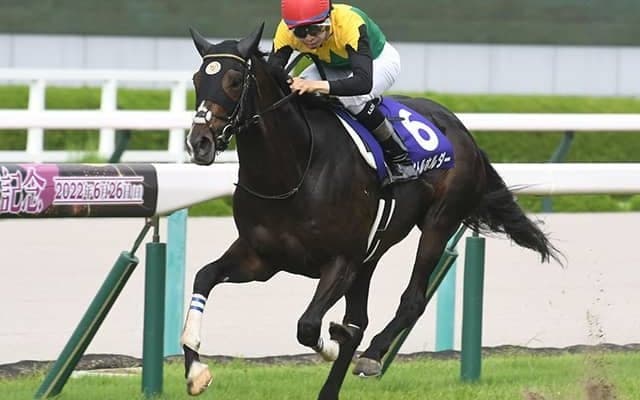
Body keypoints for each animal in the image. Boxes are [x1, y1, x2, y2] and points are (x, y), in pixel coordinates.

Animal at [180, 24, 561, 400]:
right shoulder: (261, 258)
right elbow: (204, 276)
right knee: (360, 318)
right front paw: (196, 371)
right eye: (198, 79)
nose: (199, 142)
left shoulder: (341, 261)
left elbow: (309, 326)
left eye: (233, 80)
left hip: (438, 223)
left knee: (411, 300)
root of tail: (461, 128)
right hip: (370, 255)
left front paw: (335, 342)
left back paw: (372, 355)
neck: (293, 170)